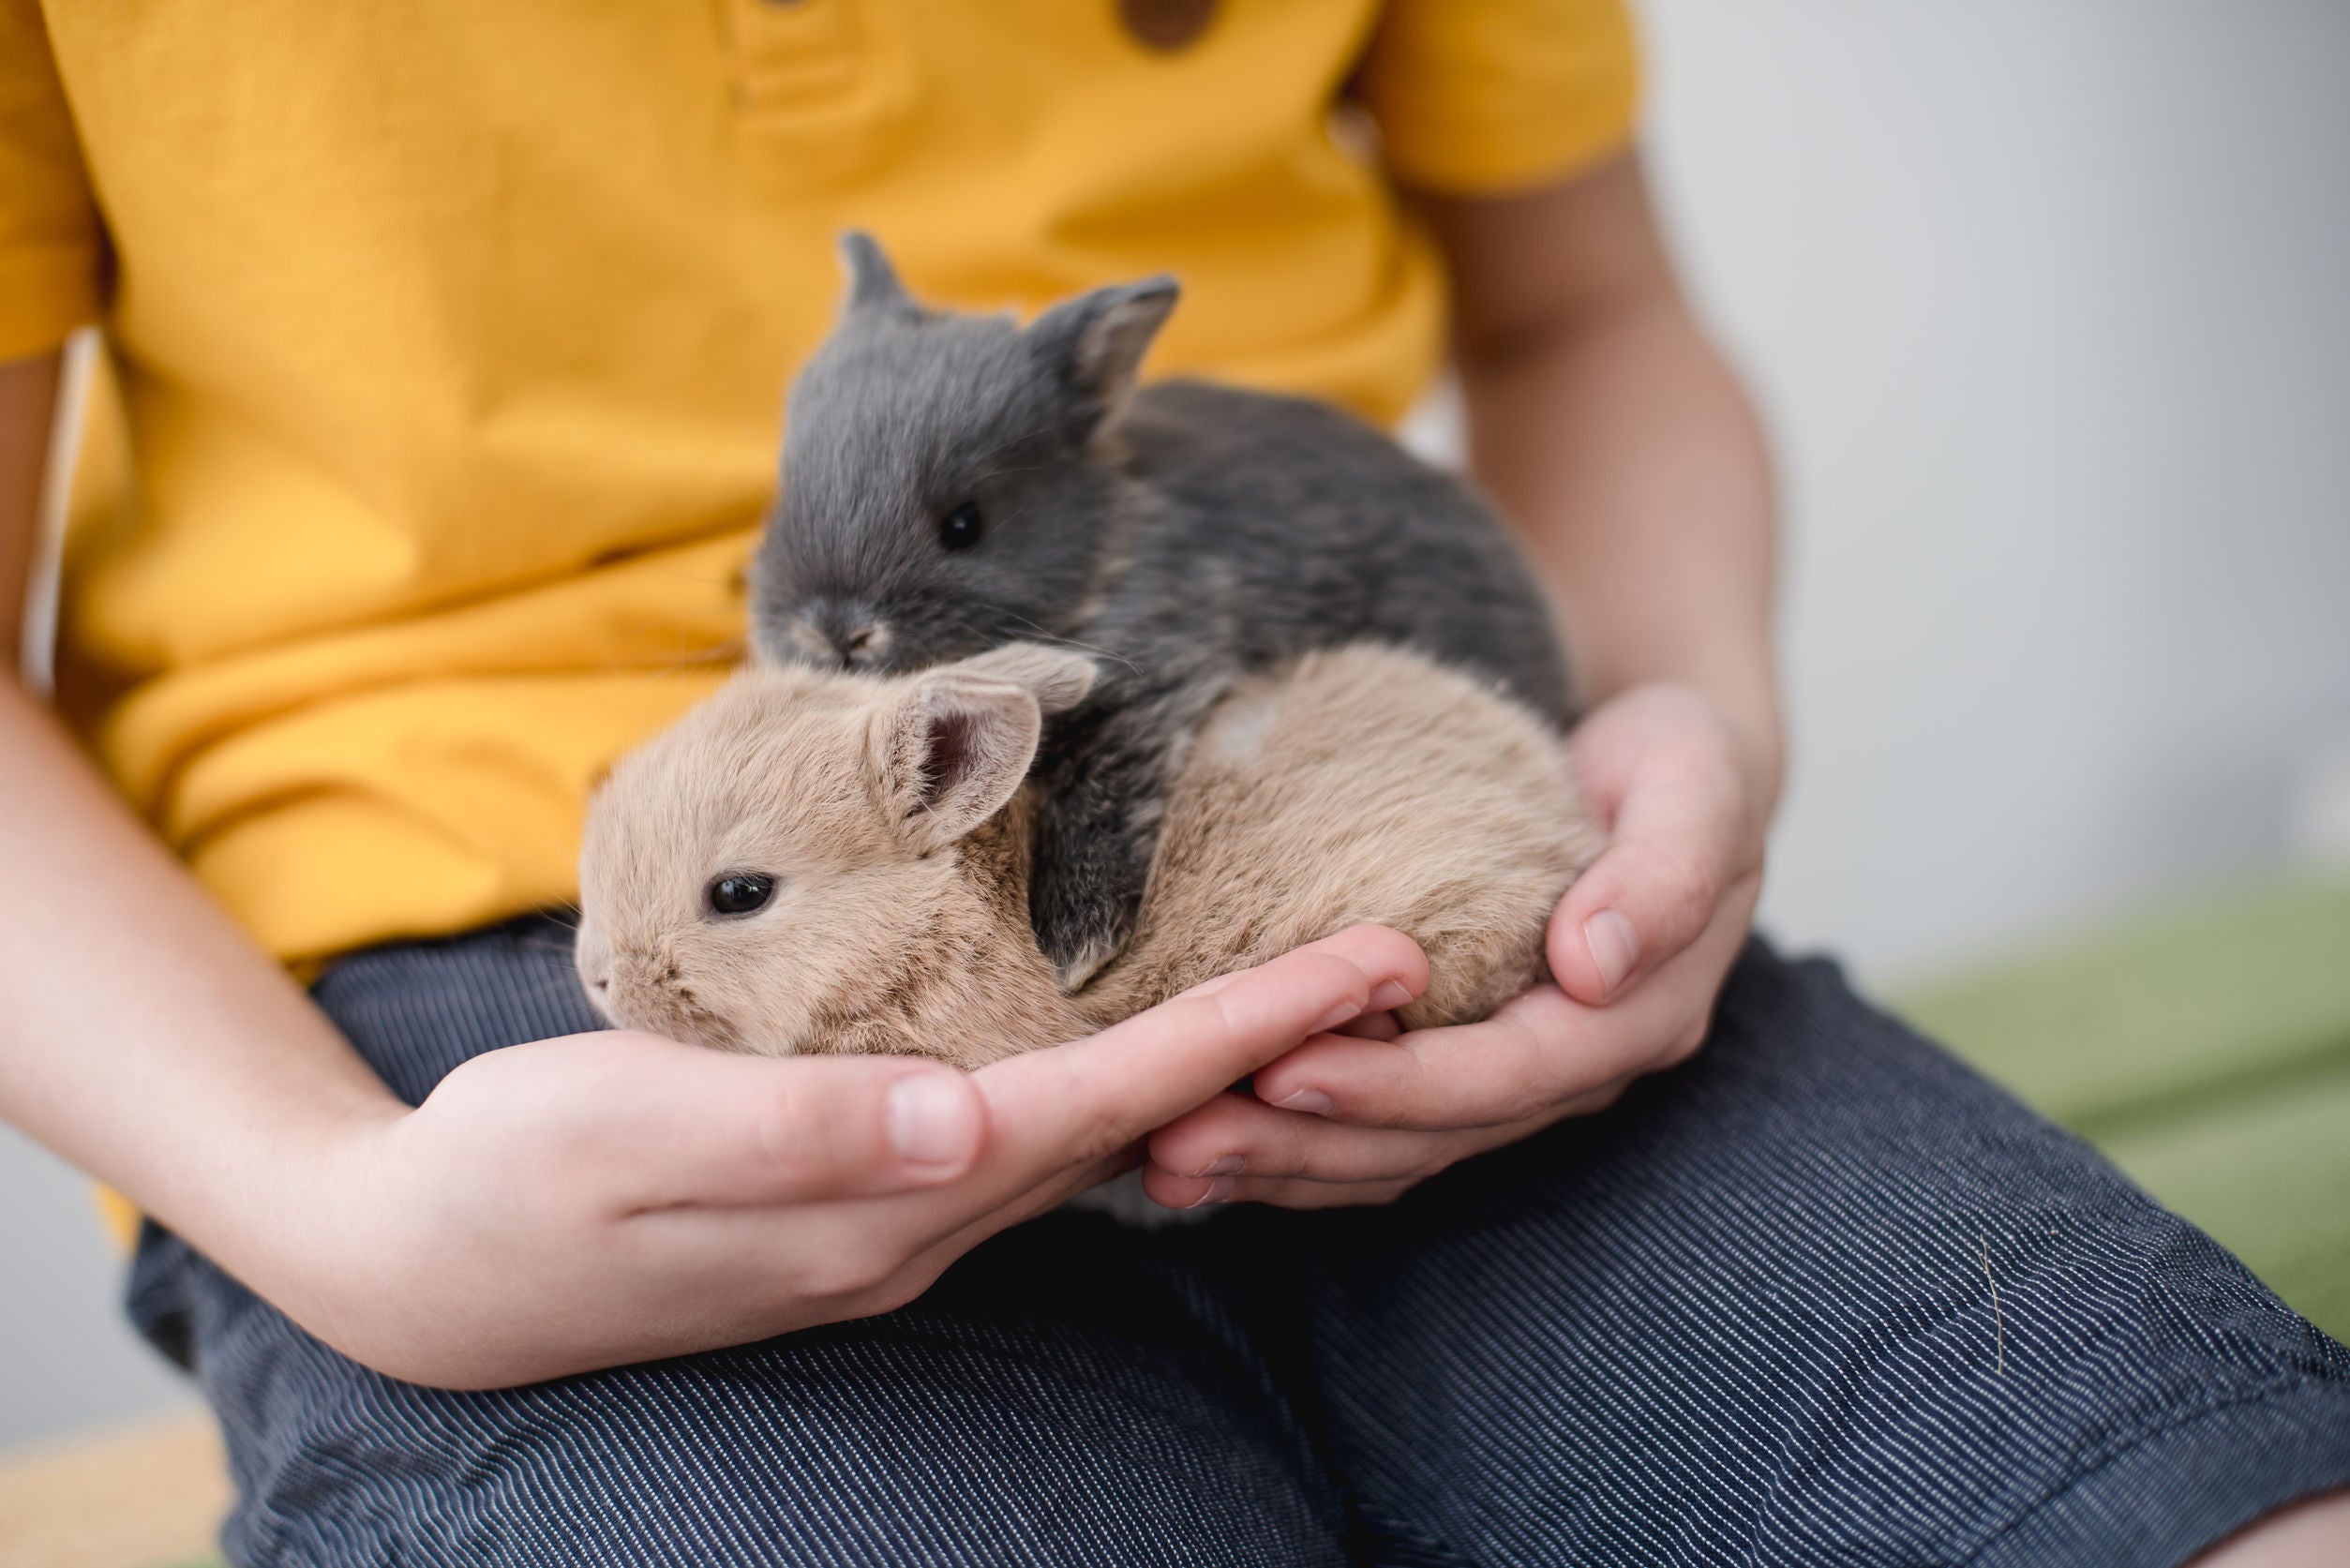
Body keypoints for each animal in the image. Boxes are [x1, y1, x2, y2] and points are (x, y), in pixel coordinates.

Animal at [742, 232, 1569, 992]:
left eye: (965, 524)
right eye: (784, 496)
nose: (831, 631)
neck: (1103, 554)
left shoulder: (1147, 689)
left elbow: (1102, 808)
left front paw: (1070, 949)